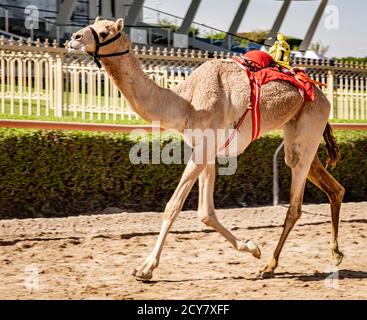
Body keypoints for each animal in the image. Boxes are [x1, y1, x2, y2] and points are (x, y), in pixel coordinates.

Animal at [68, 18, 344, 282]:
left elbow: (173, 205)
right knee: (333, 187)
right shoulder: (206, 149)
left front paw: (145, 269)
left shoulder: (204, 147)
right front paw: (251, 247)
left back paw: (270, 266)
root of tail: (322, 94)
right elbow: (205, 213)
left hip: (309, 124)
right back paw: (334, 253)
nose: (74, 38)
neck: (186, 102)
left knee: (295, 205)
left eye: (105, 32)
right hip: (299, 134)